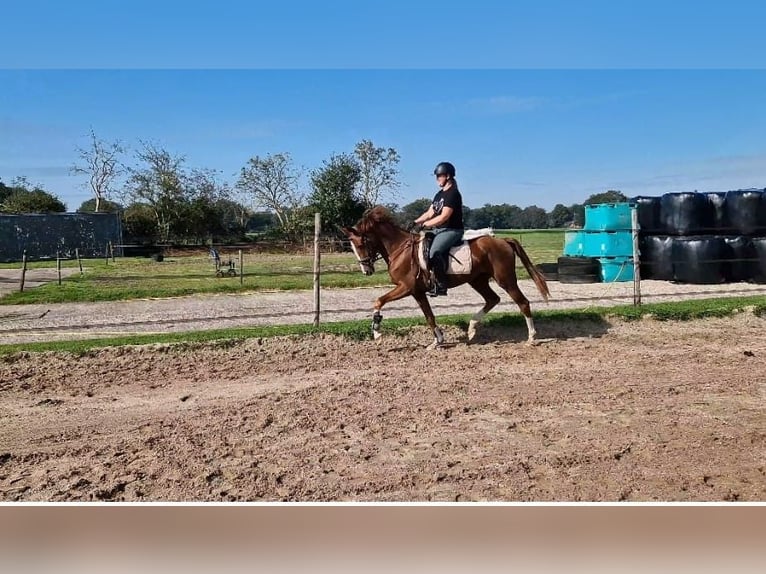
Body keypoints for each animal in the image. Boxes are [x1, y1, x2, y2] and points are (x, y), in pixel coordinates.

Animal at [344, 208, 552, 352]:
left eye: (361, 244)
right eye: (352, 246)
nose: (366, 270)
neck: (399, 248)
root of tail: (502, 240)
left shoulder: (406, 287)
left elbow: (379, 301)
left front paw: (377, 332)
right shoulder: (417, 292)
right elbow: (429, 316)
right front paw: (437, 342)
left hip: (505, 280)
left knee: (523, 302)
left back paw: (531, 338)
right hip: (477, 280)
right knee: (493, 299)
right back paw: (472, 328)